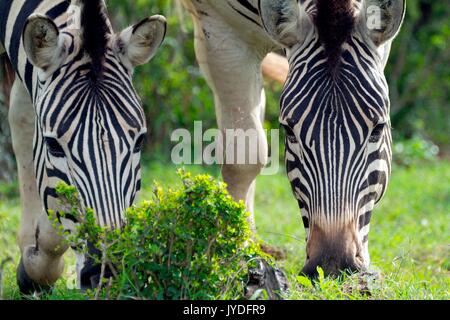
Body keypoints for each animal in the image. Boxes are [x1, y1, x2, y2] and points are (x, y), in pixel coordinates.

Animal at [181, 0, 406, 276]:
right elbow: (244, 157)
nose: (332, 263)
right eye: (289, 131)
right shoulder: (221, 28)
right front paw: (237, 253)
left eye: (378, 128)